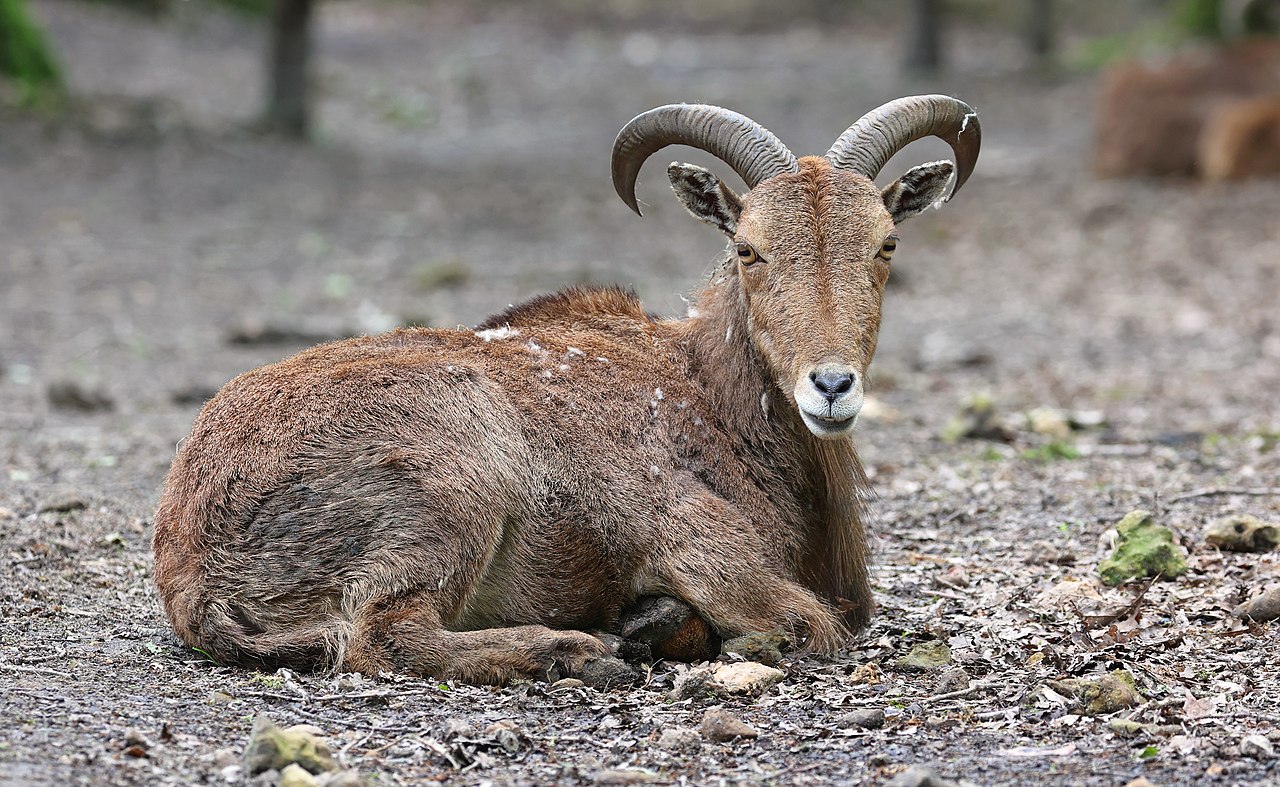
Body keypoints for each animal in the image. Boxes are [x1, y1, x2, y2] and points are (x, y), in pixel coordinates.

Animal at [151, 95, 981, 685]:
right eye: (748, 248)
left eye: (886, 243)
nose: (832, 385)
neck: (711, 398)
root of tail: (190, 556)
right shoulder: (697, 541)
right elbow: (807, 624)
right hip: (453, 483)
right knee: (383, 634)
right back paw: (578, 651)